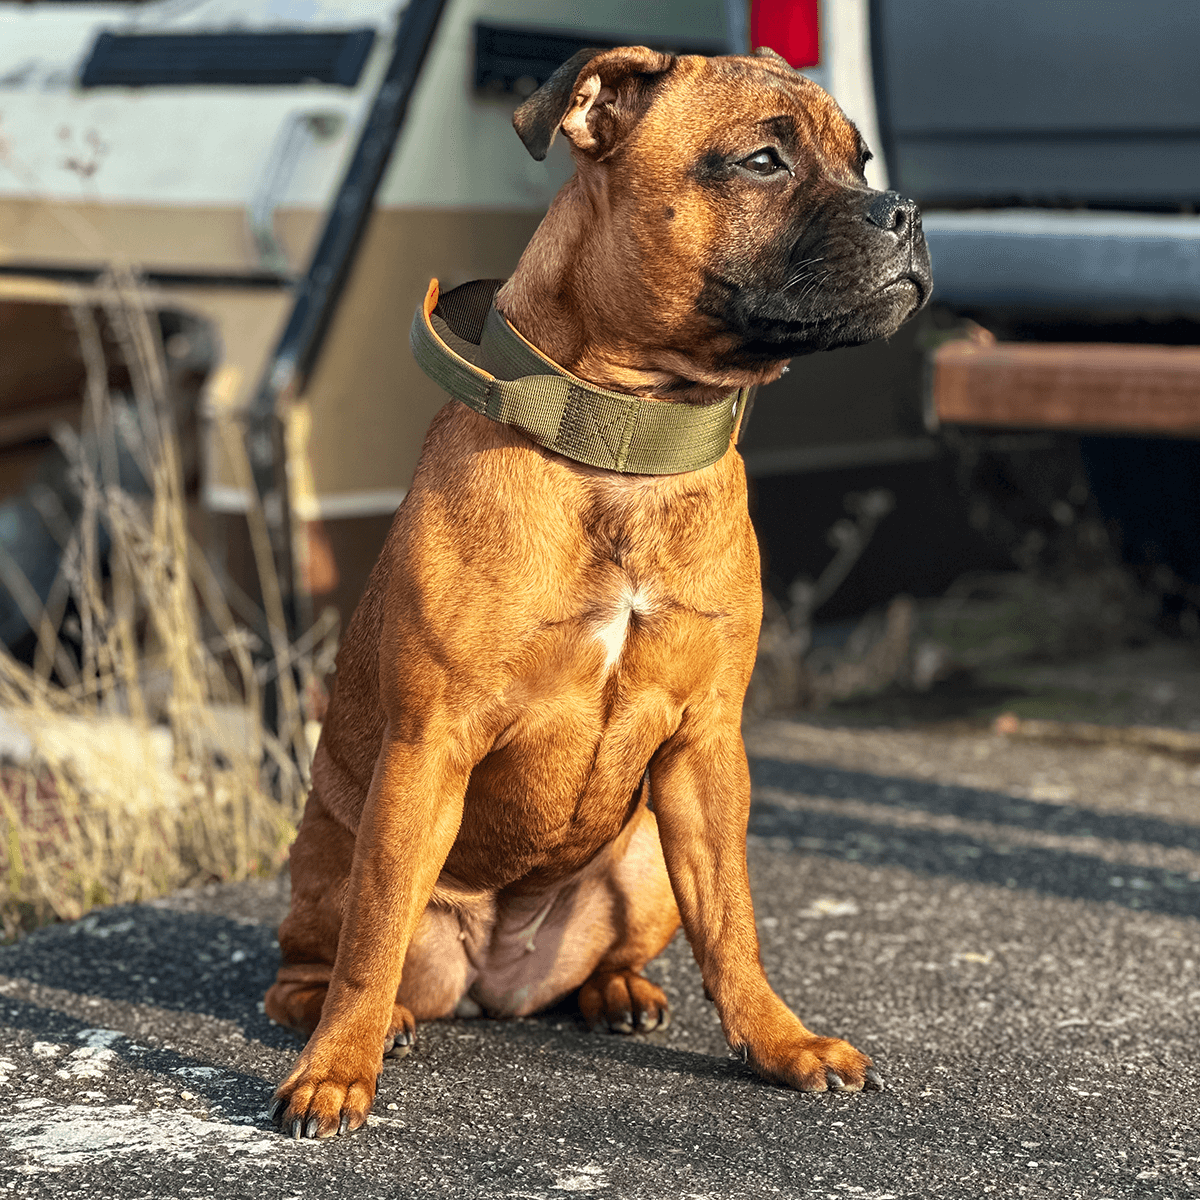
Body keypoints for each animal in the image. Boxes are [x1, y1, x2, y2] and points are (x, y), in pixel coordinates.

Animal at [267, 46, 931, 1137]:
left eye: (861, 161)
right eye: (762, 161)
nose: (907, 212)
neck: (628, 438)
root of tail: (496, 978)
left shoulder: (706, 747)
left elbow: (734, 924)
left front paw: (779, 1042)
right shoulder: (429, 745)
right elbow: (372, 942)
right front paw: (336, 1069)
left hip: (649, 858)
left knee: (631, 947)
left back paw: (619, 990)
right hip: (330, 855)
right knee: (328, 955)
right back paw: (346, 1015)